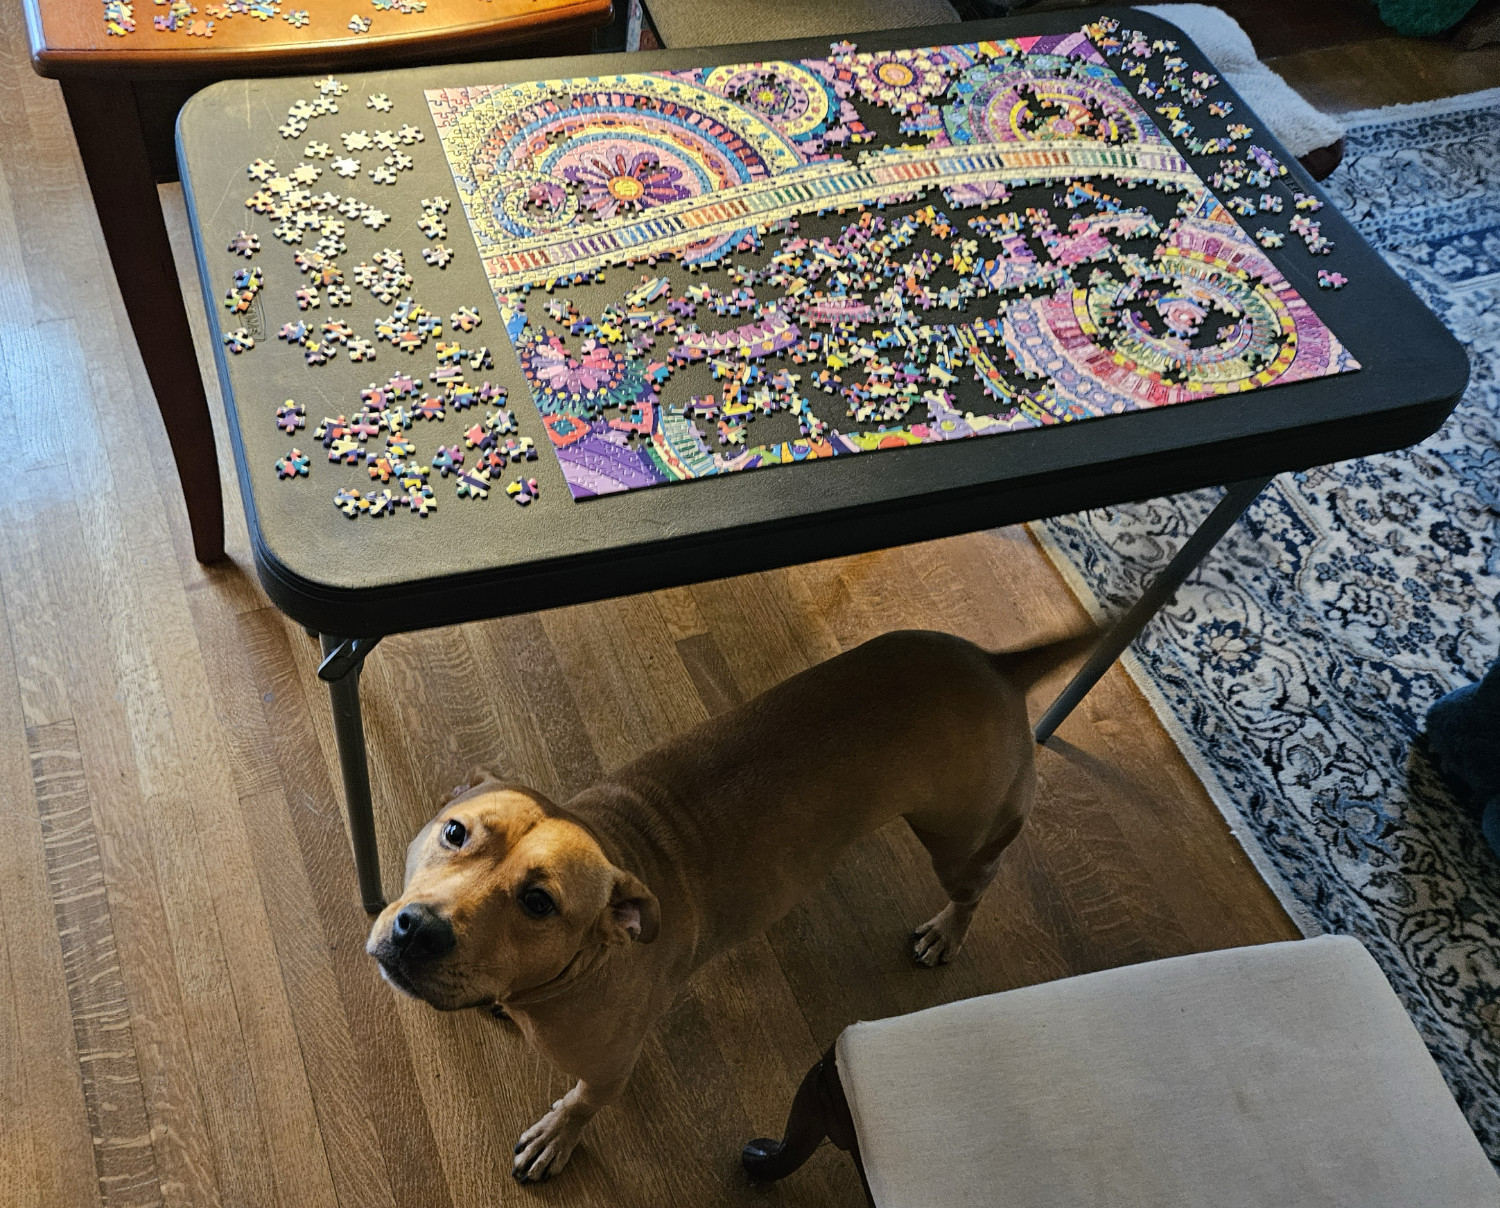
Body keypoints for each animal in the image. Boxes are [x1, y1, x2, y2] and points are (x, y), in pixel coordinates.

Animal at [363, 627, 1092, 1182]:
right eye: (455, 833)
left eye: (539, 902)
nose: (416, 931)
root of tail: (996, 665)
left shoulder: (608, 1068)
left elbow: (583, 1103)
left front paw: (558, 1136)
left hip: (961, 839)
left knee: (980, 881)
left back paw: (947, 930)